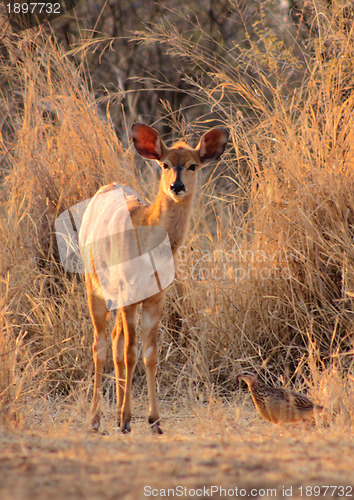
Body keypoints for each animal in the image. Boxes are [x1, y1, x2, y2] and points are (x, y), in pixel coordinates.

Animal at [80, 123, 228, 432]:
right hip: (95, 289)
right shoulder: (128, 294)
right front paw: (127, 419)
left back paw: (115, 414)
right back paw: (96, 419)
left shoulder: (155, 298)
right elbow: (131, 352)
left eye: (193, 165)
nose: (177, 186)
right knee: (101, 344)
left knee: (115, 340)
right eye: (165, 164)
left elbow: (149, 354)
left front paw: (154, 420)